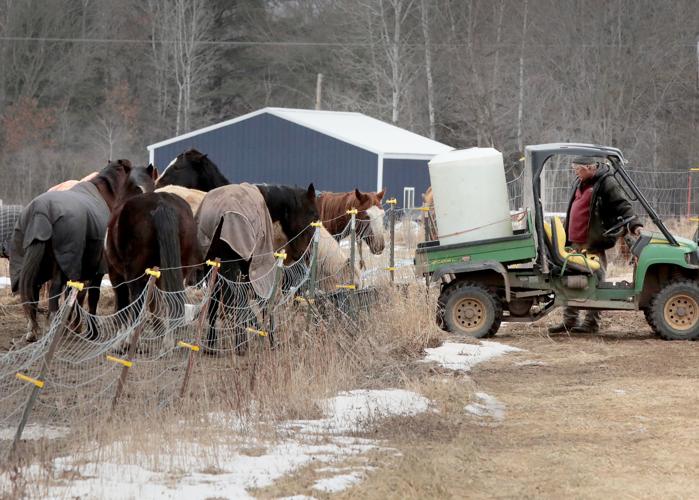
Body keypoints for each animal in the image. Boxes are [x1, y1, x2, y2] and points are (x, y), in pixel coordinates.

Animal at [10, 159, 135, 342]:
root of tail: (41, 212)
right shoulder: (96, 270)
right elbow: (92, 298)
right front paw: (91, 332)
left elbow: (73, 297)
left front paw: (70, 327)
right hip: (61, 266)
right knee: (53, 291)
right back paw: (51, 327)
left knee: (33, 290)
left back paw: (33, 330)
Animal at [196, 182, 318, 353]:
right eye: (314, 215)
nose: (305, 254)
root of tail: (223, 215)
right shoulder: (261, 267)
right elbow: (267, 301)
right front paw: (270, 338)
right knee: (237, 300)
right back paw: (242, 343)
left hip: (212, 266)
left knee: (215, 301)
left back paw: (212, 345)